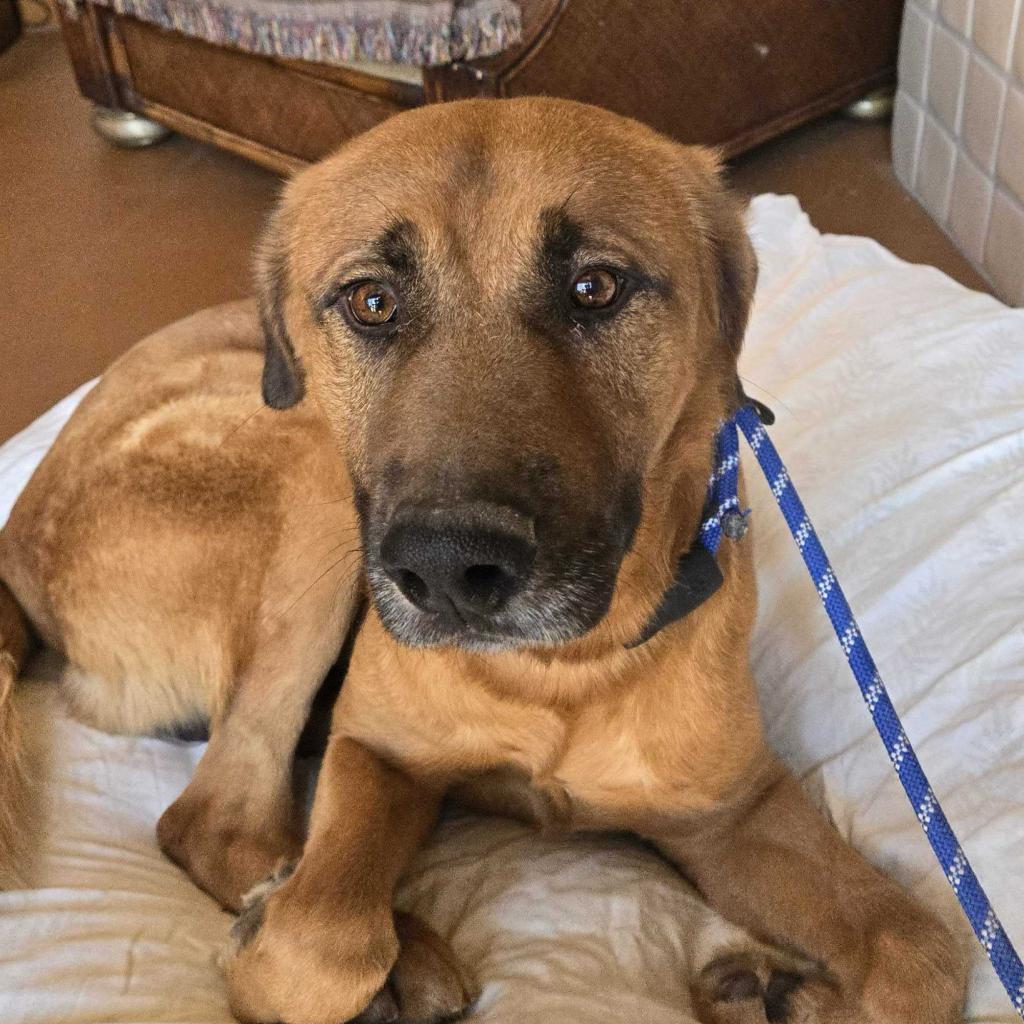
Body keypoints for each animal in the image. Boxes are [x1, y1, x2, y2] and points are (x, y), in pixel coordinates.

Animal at [0, 101, 962, 1024]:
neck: (558, 669)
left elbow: (924, 960)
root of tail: (14, 543)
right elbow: (320, 944)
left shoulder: (734, 813)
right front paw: (317, 943)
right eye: (371, 302)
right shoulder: (374, 754)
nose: (449, 571)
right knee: (214, 817)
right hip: (312, 477)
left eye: (595, 287)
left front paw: (778, 994)